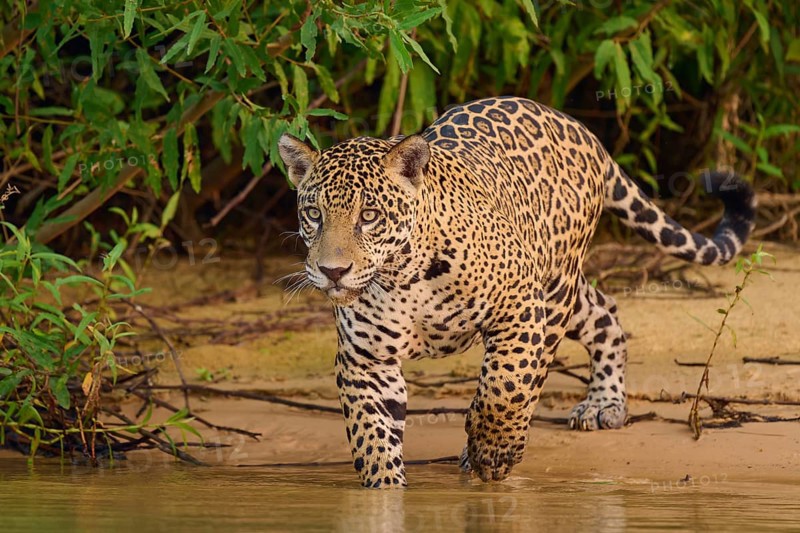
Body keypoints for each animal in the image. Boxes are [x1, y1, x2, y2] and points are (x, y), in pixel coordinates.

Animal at [277, 96, 756, 488]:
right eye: (314, 214)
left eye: (370, 215)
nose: (333, 271)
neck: (401, 278)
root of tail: (579, 129)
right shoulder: (366, 359)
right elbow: (372, 437)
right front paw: (385, 491)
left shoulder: (519, 307)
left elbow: (506, 386)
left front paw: (492, 452)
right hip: (561, 287)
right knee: (605, 311)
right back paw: (603, 402)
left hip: (553, 289)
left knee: (536, 368)